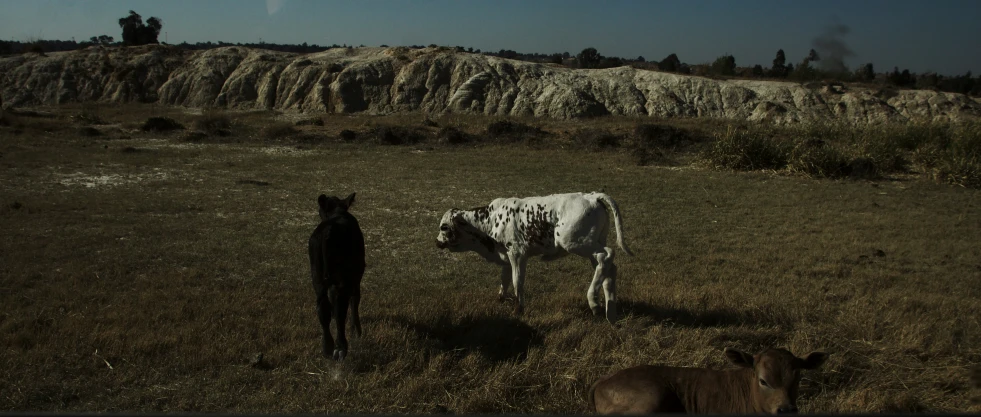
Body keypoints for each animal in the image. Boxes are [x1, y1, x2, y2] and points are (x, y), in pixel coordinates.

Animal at [306, 192, 364, 358]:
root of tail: (329, 229)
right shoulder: (356, 276)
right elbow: (355, 299)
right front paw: (356, 331)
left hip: (317, 277)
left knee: (323, 306)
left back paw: (327, 347)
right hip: (344, 278)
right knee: (340, 309)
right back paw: (340, 347)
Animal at [432, 192, 632, 322]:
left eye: (444, 227)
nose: (437, 242)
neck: (489, 220)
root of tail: (591, 196)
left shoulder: (517, 253)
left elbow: (517, 281)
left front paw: (518, 309)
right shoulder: (506, 256)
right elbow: (504, 279)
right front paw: (501, 299)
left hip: (575, 242)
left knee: (607, 255)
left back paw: (594, 302)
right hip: (591, 245)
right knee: (608, 268)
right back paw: (610, 312)